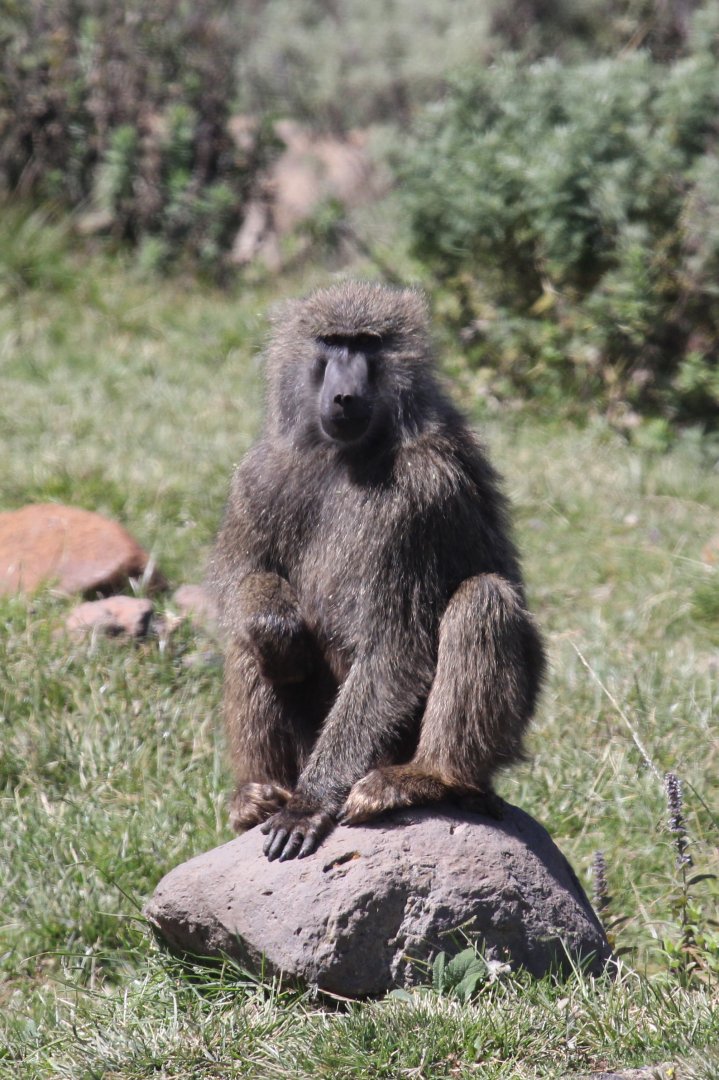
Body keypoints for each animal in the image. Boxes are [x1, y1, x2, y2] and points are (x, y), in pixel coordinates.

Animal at [208, 281, 545, 863]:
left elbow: (395, 648)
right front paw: (274, 625)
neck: (347, 454)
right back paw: (258, 793)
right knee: (252, 640)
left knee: (483, 599)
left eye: (368, 343)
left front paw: (310, 804)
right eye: (332, 342)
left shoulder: (423, 493)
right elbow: (244, 580)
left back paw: (427, 778)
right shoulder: (258, 473)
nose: (344, 395)